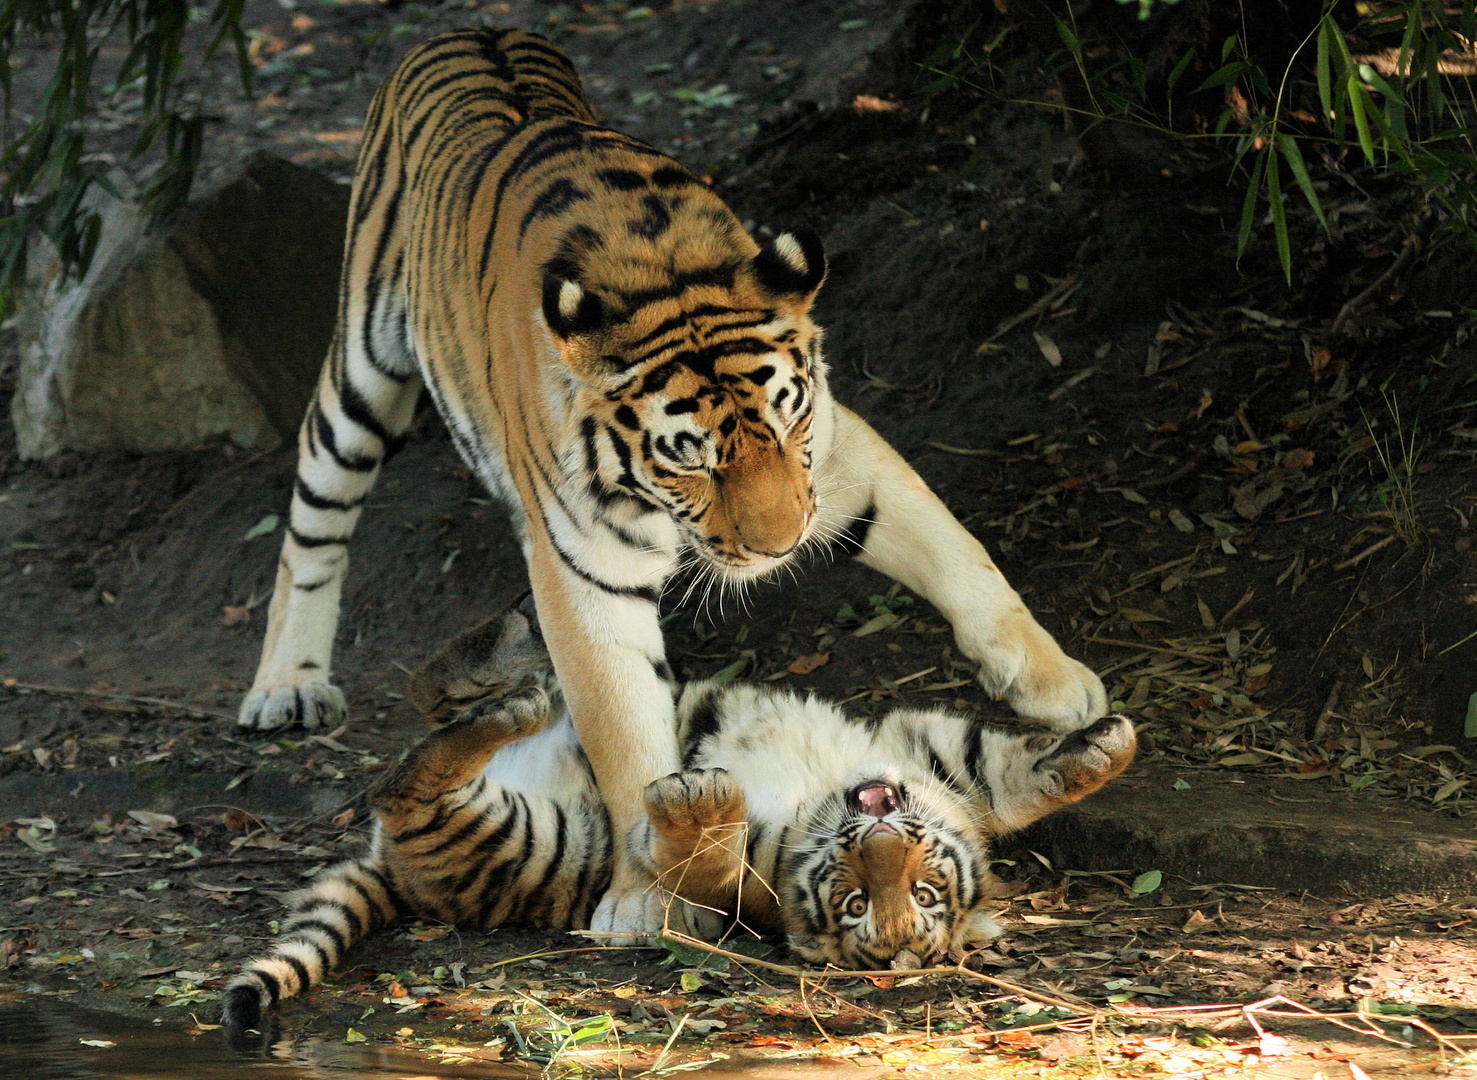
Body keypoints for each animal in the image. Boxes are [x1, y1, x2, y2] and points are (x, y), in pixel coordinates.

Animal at [224, 602, 1134, 1028]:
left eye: (907, 900)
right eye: (864, 894)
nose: (877, 840)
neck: (828, 791)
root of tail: (386, 869)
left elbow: (711, 858)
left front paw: (702, 800)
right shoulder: (921, 749)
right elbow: (1008, 772)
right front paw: (1102, 749)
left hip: (503, 839)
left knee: (409, 783)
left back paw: (509, 703)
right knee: (436, 696)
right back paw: (502, 652)